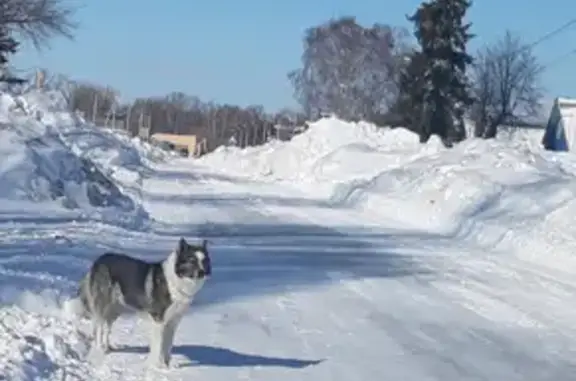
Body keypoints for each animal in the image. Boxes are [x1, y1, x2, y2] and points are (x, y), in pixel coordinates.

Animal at [74, 236, 212, 366]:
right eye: (192, 260)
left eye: (204, 261)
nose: (202, 272)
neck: (176, 280)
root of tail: (99, 260)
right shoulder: (159, 321)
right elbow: (159, 347)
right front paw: (158, 366)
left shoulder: (173, 322)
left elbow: (168, 346)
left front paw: (167, 366)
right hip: (103, 306)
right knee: (99, 327)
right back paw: (100, 349)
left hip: (115, 310)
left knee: (107, 328)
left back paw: (108, 347)